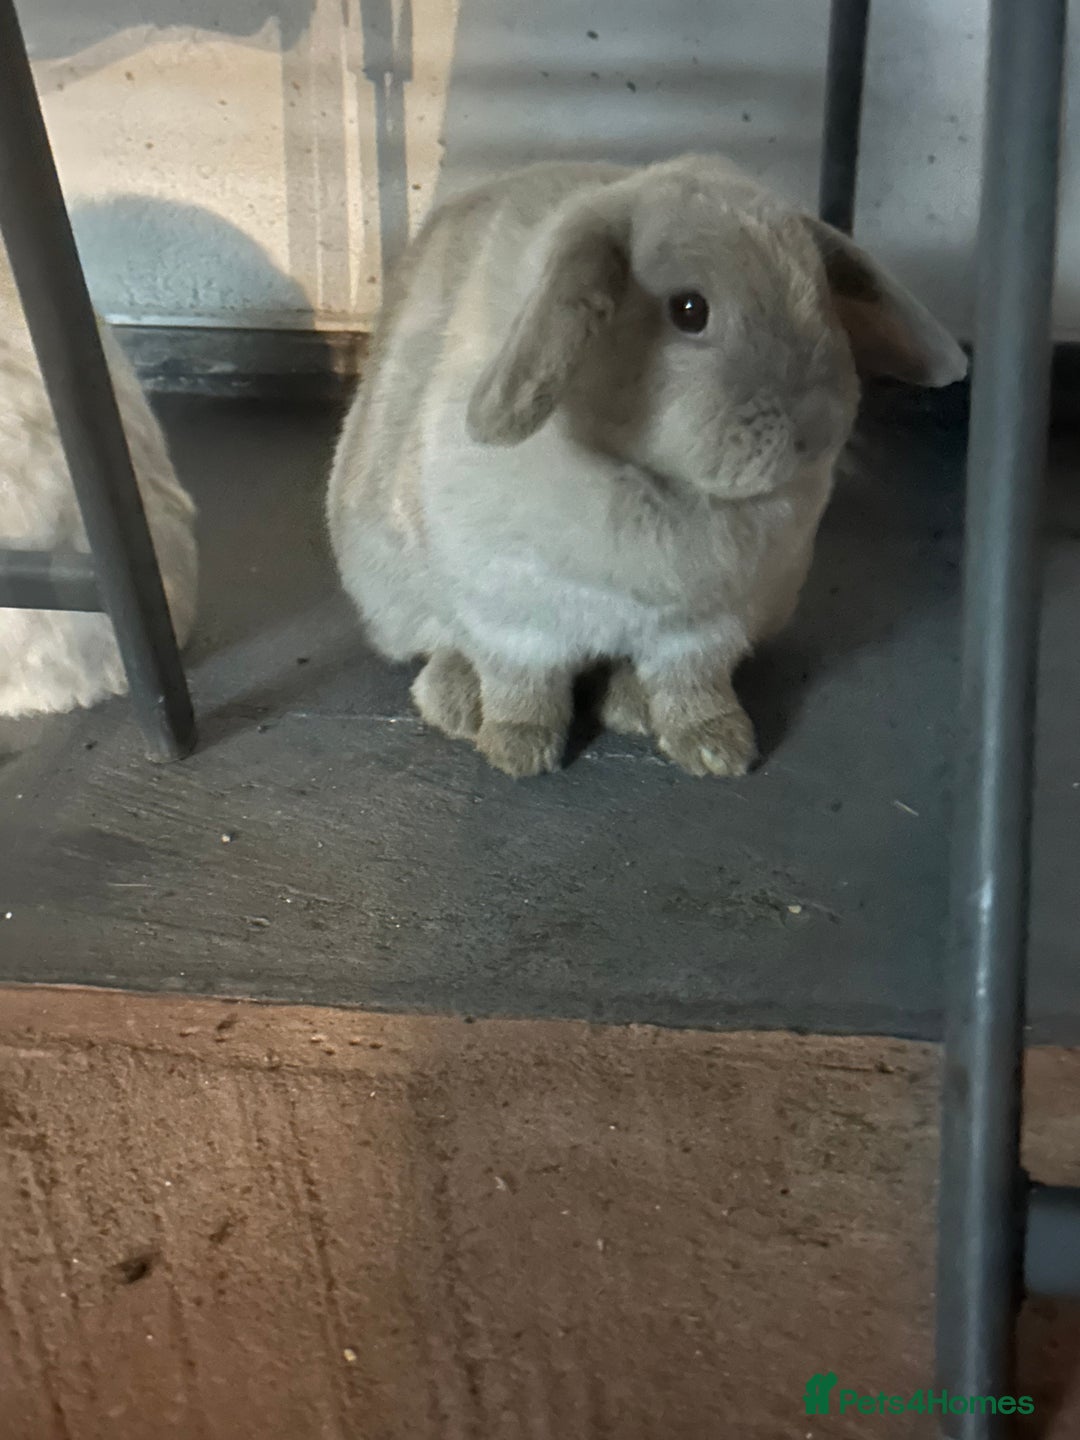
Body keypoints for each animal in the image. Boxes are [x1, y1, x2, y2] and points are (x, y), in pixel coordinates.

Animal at [327, 154, 966, 779]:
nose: (816, 428)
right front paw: (518, 751)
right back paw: (458, 704)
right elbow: (523, 685)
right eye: (689, 309)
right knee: (443, 645)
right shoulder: (512, 616)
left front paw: (718, 749)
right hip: (394, 593)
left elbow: (693, 685)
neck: (658, 485)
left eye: (821, 296)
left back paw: (631, 708)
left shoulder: (708, 626)